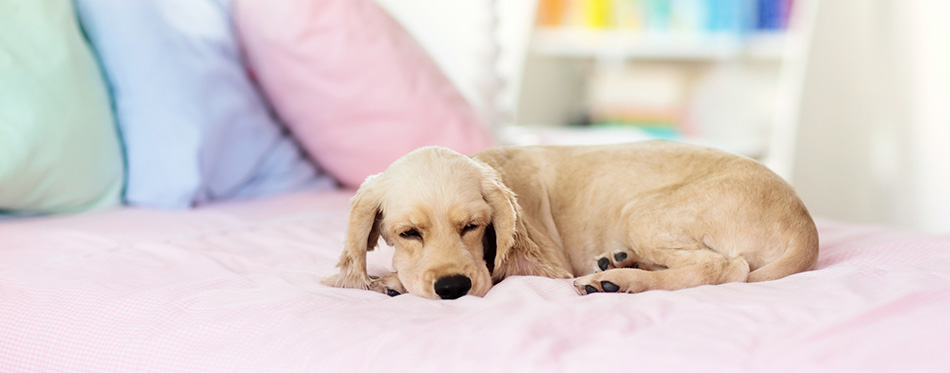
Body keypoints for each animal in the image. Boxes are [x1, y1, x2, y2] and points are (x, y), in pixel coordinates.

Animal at [320, 141, 820, 298]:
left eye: (473, 226)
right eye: (407, 233)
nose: (452, 289)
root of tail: (805, 225)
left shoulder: (545, 265)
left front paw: (394, 281)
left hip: (642, 211)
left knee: (725, 267)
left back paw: (617, 280)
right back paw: (618, 263)